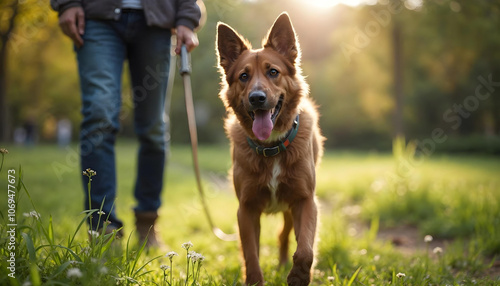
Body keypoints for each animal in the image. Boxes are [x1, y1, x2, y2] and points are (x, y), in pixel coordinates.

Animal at [216, 12, 324, 284]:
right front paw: (255, 279)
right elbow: (251, 254)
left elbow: (305, 249)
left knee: (285, 234)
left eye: (273, 72)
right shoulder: (246, 210)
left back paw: (285, 263)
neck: (271, 147)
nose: (257, 98)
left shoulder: (305, 201)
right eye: (243, 76)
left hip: (289, 210)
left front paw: (298, 275)